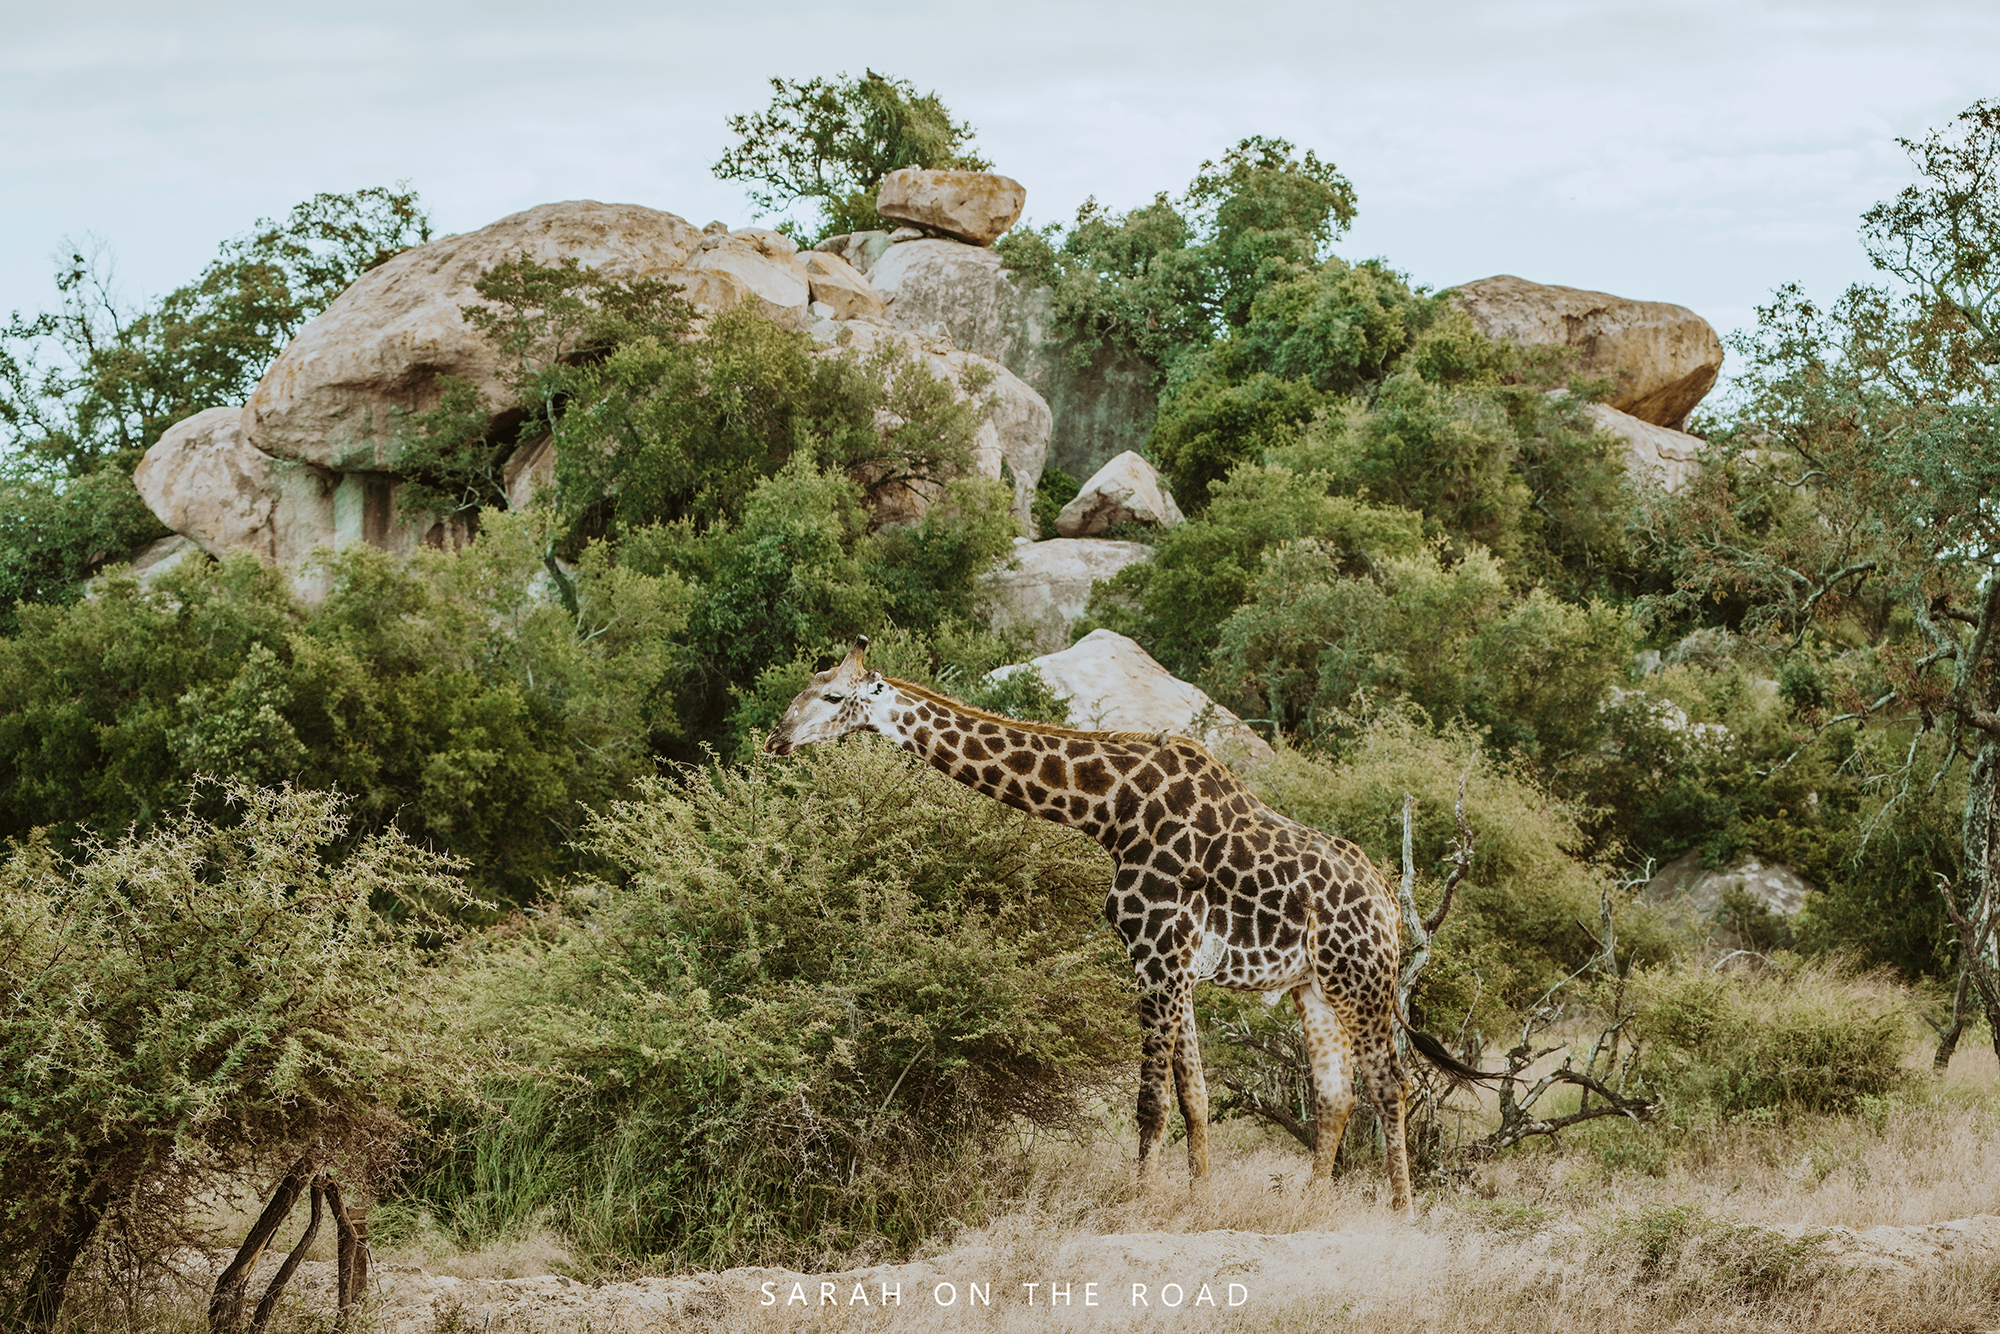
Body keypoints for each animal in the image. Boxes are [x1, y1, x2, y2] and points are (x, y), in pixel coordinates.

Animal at [756, 636, 1480, 1208]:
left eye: (830, 698)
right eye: (803, 689)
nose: (774, 740)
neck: (1109, 811)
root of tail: (1387, 902)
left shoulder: (1156, 951)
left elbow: (1150, 1101)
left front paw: (1141, 1202)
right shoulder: (1176, 962)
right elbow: (1195, 1095)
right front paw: (1199, 1198)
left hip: (1361, 978)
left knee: (1390, 1082)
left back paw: (1399, 1212)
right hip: (1314, 986)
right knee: (1336, 1094)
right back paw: (1311, 1206)